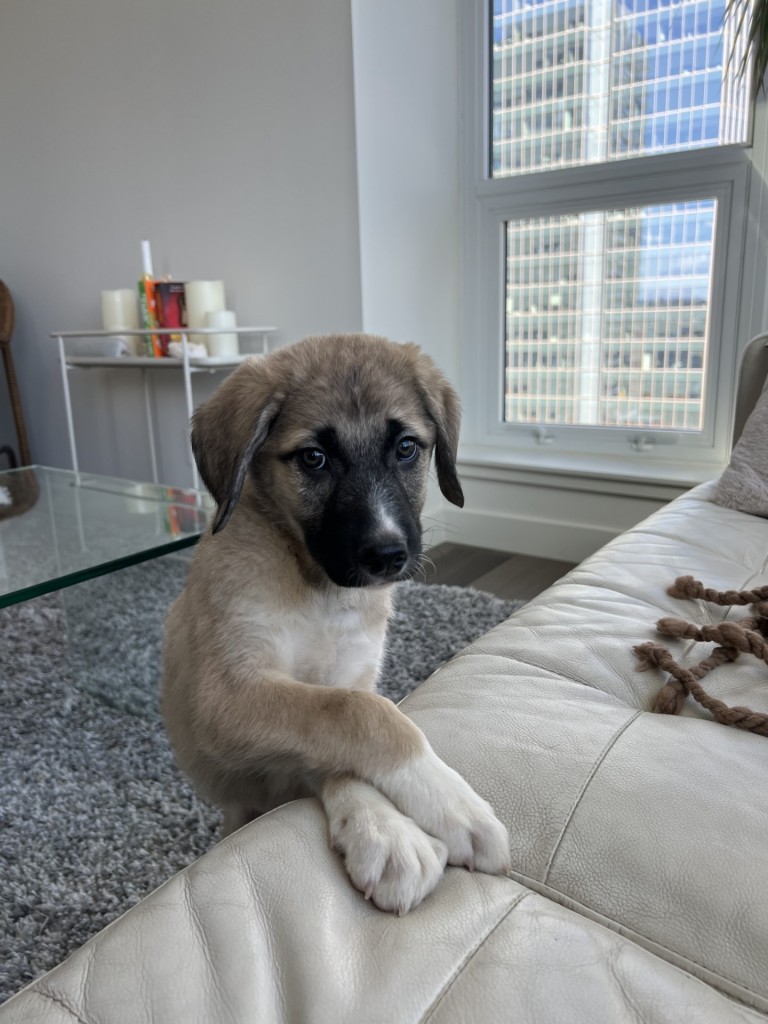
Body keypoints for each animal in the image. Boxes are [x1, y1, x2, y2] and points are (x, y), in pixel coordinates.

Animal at [162, 333, 510, 914]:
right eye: (314, 458)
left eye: (406, 447)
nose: (387, 555)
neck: (319, 591)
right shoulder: (225, 695)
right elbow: (360, 715)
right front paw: (447, 805)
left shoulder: (350, 673)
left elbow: (340, 725)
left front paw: (383, 829)